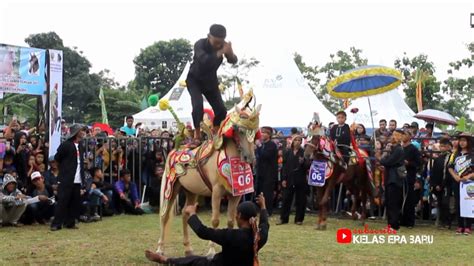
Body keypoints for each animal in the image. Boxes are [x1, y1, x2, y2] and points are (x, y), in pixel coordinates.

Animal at [157, 89, 262, 256]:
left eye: (256, 131)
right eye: (239, 130)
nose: (249, 157)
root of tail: (174, 150)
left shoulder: (236, 195)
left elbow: (230, 221)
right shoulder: (216, 192)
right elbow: (215, 221)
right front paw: (211, 250)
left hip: (191, 191)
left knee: (185, 214)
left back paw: (188, 248)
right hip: (171, 188)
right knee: (164, 216)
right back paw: (160, 249)